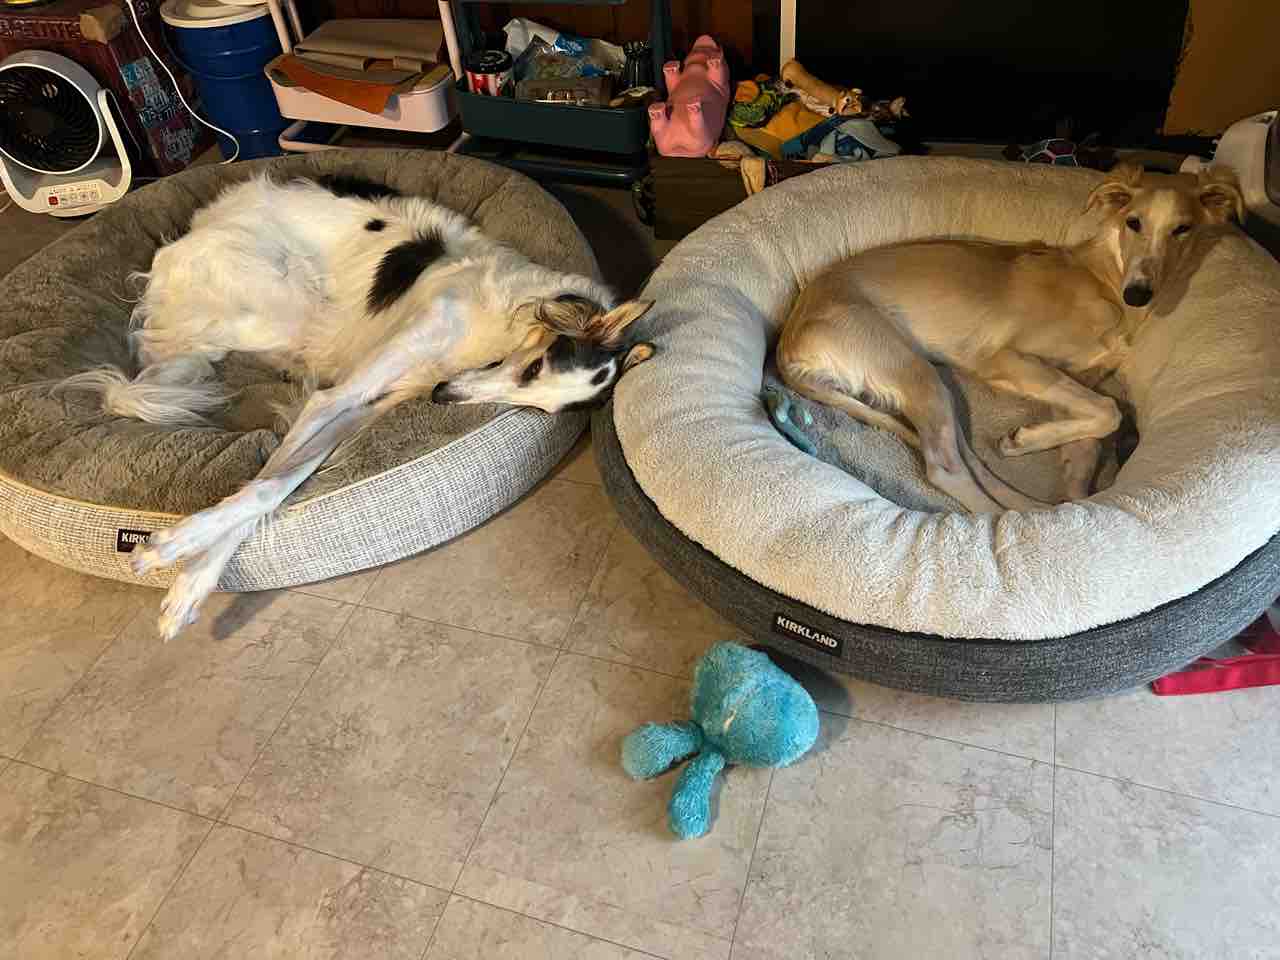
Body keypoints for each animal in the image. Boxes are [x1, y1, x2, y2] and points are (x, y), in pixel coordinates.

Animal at [59, 173, 654, 639]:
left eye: (540, 409)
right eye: (530, 371)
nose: (442, 397)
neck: (495, 317)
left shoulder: (366, 409)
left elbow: (275, 487)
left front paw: (189, 580)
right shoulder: (340, 395)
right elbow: (267, 484)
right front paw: (172, 549)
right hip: (288, 306)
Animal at [776, 163, 1244, 513]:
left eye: (1183, 229)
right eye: (1134, 223)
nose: (1140, 293)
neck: (1105, 282)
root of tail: (787, 344)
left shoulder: (1080, 380)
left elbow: (1090, 441)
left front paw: (1057, 475)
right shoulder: (1007, 359)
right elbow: (1109, 411)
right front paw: (1026, 442)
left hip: (926, 382)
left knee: (966, 459)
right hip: (911, 367)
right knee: (945, 468)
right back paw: (995, 518)